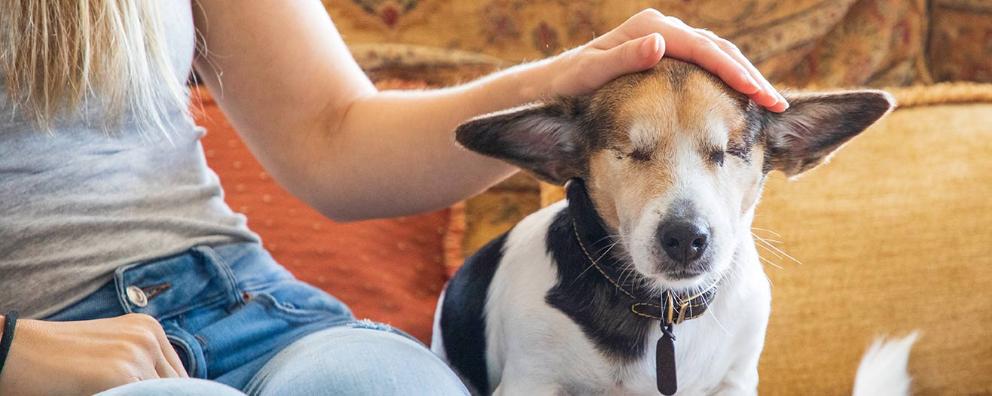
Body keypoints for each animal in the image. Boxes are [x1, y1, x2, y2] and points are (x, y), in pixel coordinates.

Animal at [434, 57, 900, 394]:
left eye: (729, 151)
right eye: (629, 151)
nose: (686, 238)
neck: (665, 306)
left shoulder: (736, 380)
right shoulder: (532, 380)